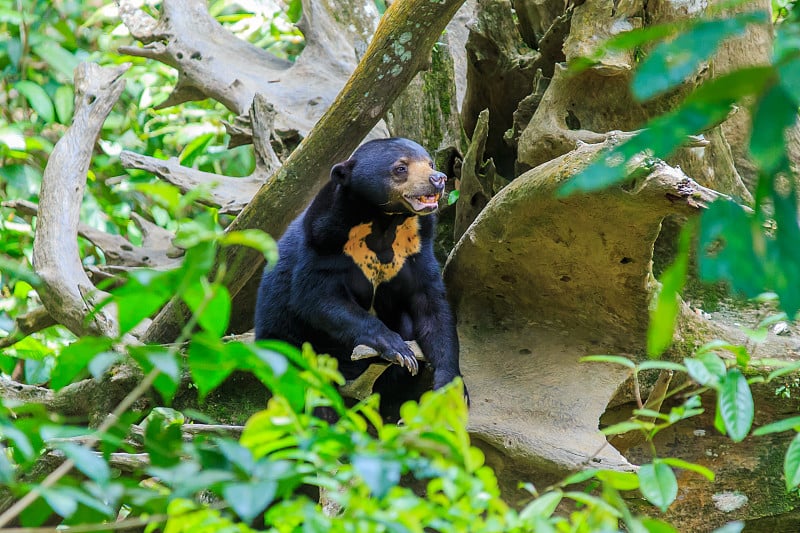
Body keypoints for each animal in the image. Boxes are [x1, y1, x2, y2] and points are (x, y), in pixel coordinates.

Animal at [256, 138, 466, 408]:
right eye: (400, 168)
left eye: (430, 163)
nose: (438, 178)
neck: (384, 222)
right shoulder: (325, 241)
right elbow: (318, 297)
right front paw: (399, 349)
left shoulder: (416, 249)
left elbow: (432, 307)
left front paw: (450, 388)